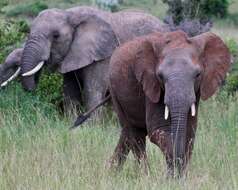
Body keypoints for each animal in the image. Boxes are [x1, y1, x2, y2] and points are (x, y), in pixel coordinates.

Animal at [18, 5, 167, 110]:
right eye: (28, 31)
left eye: (56, 36)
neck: (70, 14)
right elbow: (70, 92)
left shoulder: (102, 55)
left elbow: (92, 90)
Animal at [108, 30, 231, 177]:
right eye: (160, 76)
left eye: (198, 74)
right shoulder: (151, 84)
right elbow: (159, 130)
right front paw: (173, 177)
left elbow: (189, 132)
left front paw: (179, 177)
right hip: (114, 90)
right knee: (135, 135)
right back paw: (145, 176)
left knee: (127, 135)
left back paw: (111, 172)